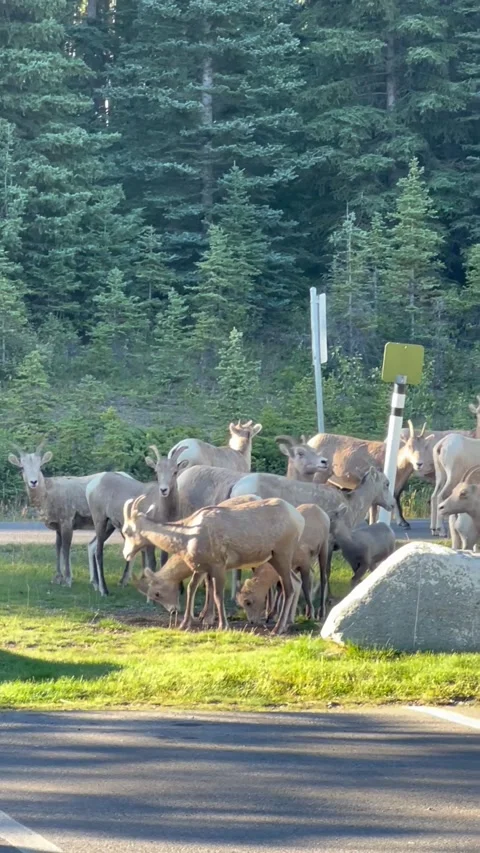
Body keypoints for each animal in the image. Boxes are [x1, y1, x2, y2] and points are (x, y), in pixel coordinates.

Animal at [8, 441, 102, 587]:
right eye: (22, 467)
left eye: (40, 466)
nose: (33, 482)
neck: (49, 494)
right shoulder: (57, 525)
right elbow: (58, 546)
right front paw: (57, 577)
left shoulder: (67, 521)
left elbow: (66, 547)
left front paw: (68, 579)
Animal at [85, 444, 189, 596]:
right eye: (157, 472)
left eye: (175, 472)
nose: (164, 490)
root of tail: (93, 485)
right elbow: (152, 563)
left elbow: (164, 561)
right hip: (100, 520)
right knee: (99, 552)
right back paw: (104, 591)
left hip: (110, 525)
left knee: (92, 545)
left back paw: (96, 585)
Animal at [122, 494, 305, 635]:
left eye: (127, 531)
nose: (126, 554)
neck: (189, 535)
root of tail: (298, 518)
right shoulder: (200, 567)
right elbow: (191, 589)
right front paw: (184, 624)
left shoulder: (218, 566)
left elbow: (217, 594)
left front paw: (222, 626)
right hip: (275, 559)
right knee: (295, 583)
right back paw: (286, 624)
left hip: (282, 555)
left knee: (288, 588)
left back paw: (277, 629)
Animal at [430, 397, 480, 535]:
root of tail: (440, 446)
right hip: (453, 474)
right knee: (441, 495)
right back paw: (441, 530)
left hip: (440, 473)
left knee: (434, 495)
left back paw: (433, 529)